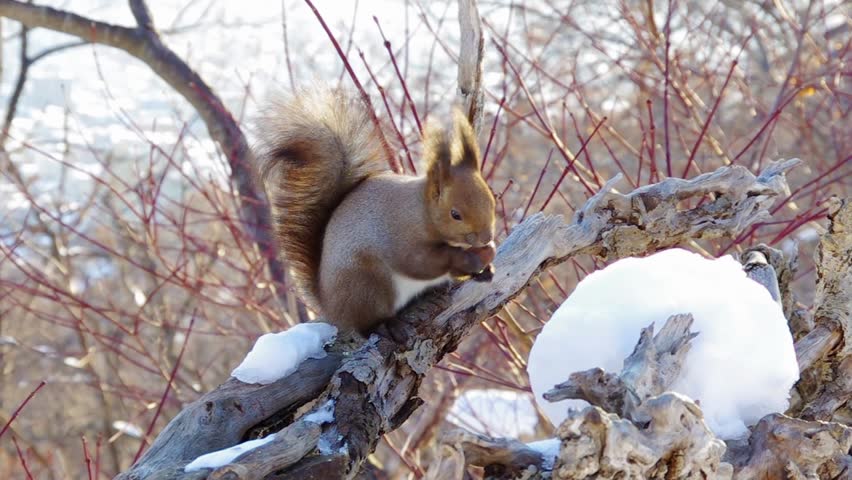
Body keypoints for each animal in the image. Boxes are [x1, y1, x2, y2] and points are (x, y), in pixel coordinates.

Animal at [256, 87, 496, 334]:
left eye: (492, 200)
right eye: (455, 214)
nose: (486, 238)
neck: (422, 211)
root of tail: (331, 308)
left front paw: (485, 269)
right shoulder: (403, 237)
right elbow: (419, 263)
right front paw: (467, 259)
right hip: (368, 285)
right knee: (366, 323)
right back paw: (388, 325)